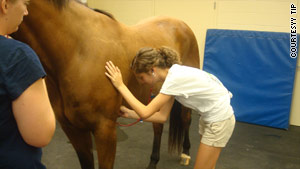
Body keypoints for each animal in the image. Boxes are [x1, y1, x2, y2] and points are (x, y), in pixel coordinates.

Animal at [12, 0, 199, 168]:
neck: (78, 53)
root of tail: (182, 25)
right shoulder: (74, 129)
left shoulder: (105, 130)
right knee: (158, 126)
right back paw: (153, 162)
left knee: (186, 118)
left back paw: (186, 153)